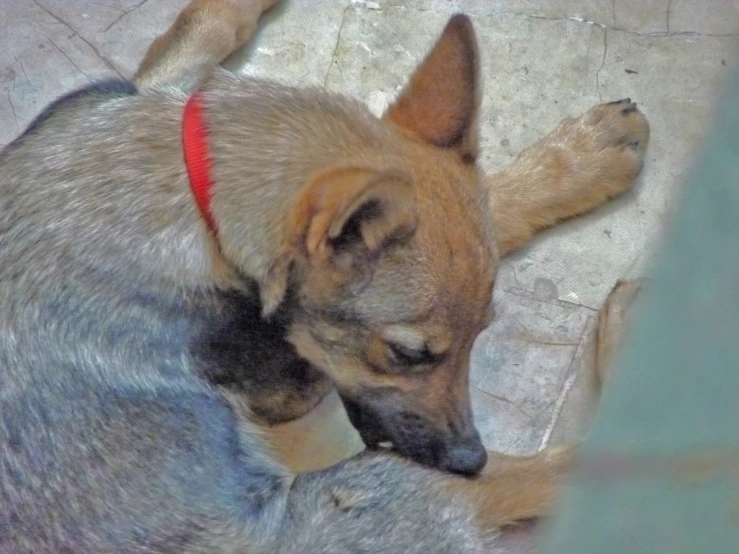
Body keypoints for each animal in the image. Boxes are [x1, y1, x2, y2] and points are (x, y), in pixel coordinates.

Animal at [0, 1, 648, 548]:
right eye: (408, 355)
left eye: (482, 333)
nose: (468, 458)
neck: (192, 202)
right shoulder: (295, 388)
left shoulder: (141, 96)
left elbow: (199, 32)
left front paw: (579, 157)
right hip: (385, 486)